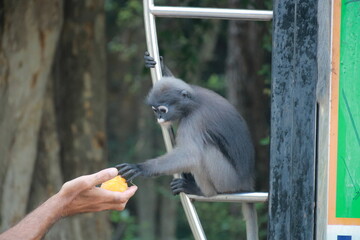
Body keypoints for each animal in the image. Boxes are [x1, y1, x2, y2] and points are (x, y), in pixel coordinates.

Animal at [118, 51, 258, 239]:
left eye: (163, 110)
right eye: (155, 110)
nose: (159, 118)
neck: (194, 101)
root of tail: (247, 182)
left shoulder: (195, 119)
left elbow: (190, 154)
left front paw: (141, 167)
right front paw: (157, 63)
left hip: (228, 180)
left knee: (204, 150)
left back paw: (203, 191)